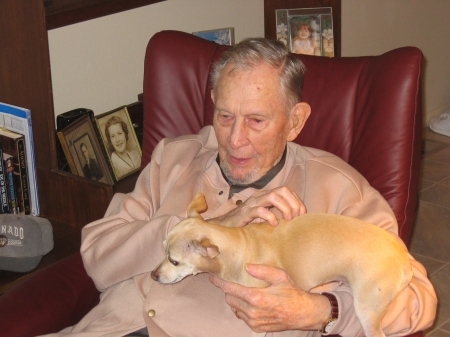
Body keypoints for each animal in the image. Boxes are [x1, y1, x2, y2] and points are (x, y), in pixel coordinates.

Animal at [153, 192, 414, 336]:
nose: (153, 276)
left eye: (174, 261)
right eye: (162, 248)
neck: (240, 245)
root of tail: (404, 256)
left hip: (367, 312)